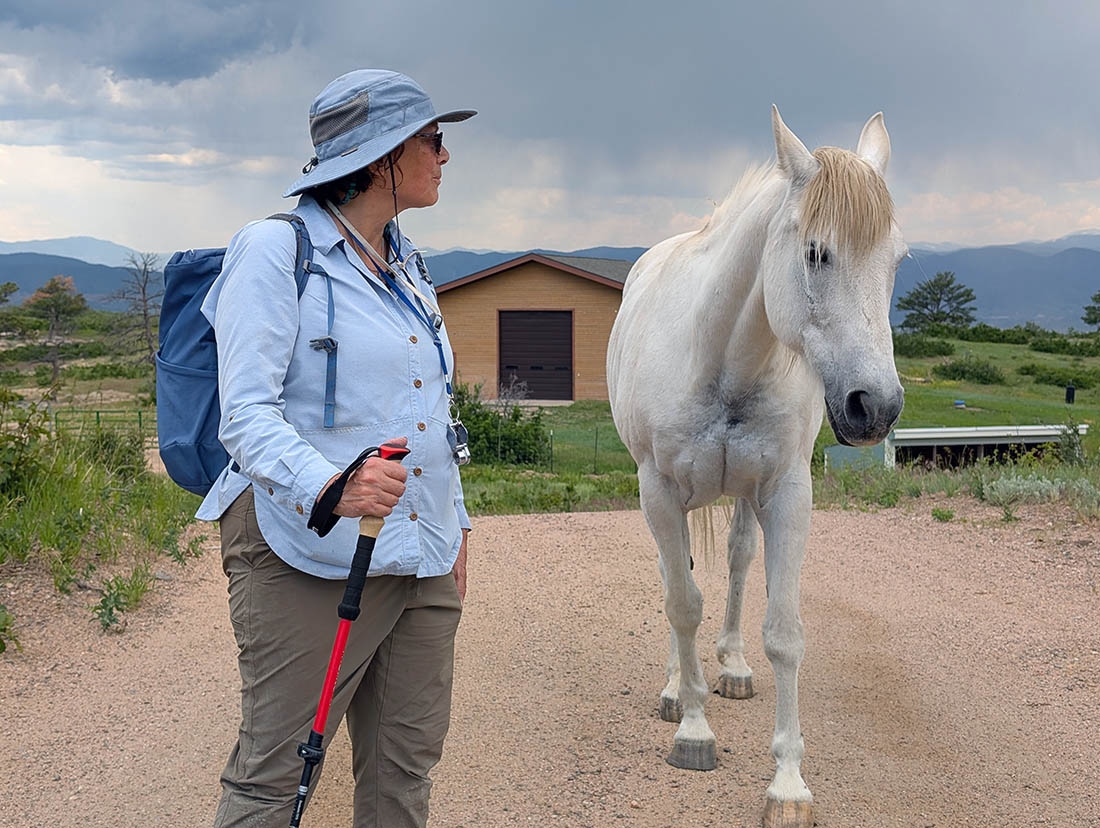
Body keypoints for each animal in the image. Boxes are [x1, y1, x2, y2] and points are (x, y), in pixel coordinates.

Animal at [606, 107, 906, 828]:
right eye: (816, 252)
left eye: (896, 260)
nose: (876, 407)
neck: (723, 358)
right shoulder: (658, 491)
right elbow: (682, 603)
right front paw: (693, 731)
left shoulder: (788, 494)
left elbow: (785, 631)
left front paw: (788, 784)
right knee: (675, 579)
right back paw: (674, 688)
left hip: (743, 493)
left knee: (740, 559)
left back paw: (733, 668)